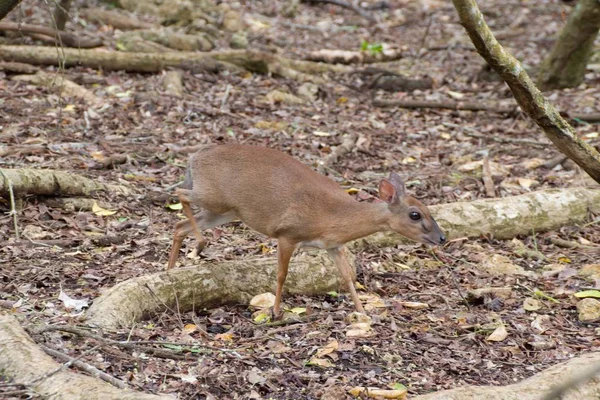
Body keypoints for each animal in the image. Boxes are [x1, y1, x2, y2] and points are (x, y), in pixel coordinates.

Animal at [169, 144, 446, 316]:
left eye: (427, 208)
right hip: (213, 197)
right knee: (179, 193)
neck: (333, 218)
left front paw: (363, 312)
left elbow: (347, 277)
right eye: (415, 214)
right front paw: (276, 311)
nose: (442, 238)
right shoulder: (288, 234)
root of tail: (194, 157)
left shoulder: (334, 246)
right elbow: (282, 275)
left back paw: (170, 270)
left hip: (225, 211)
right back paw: (200, 244)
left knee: (179, 225)